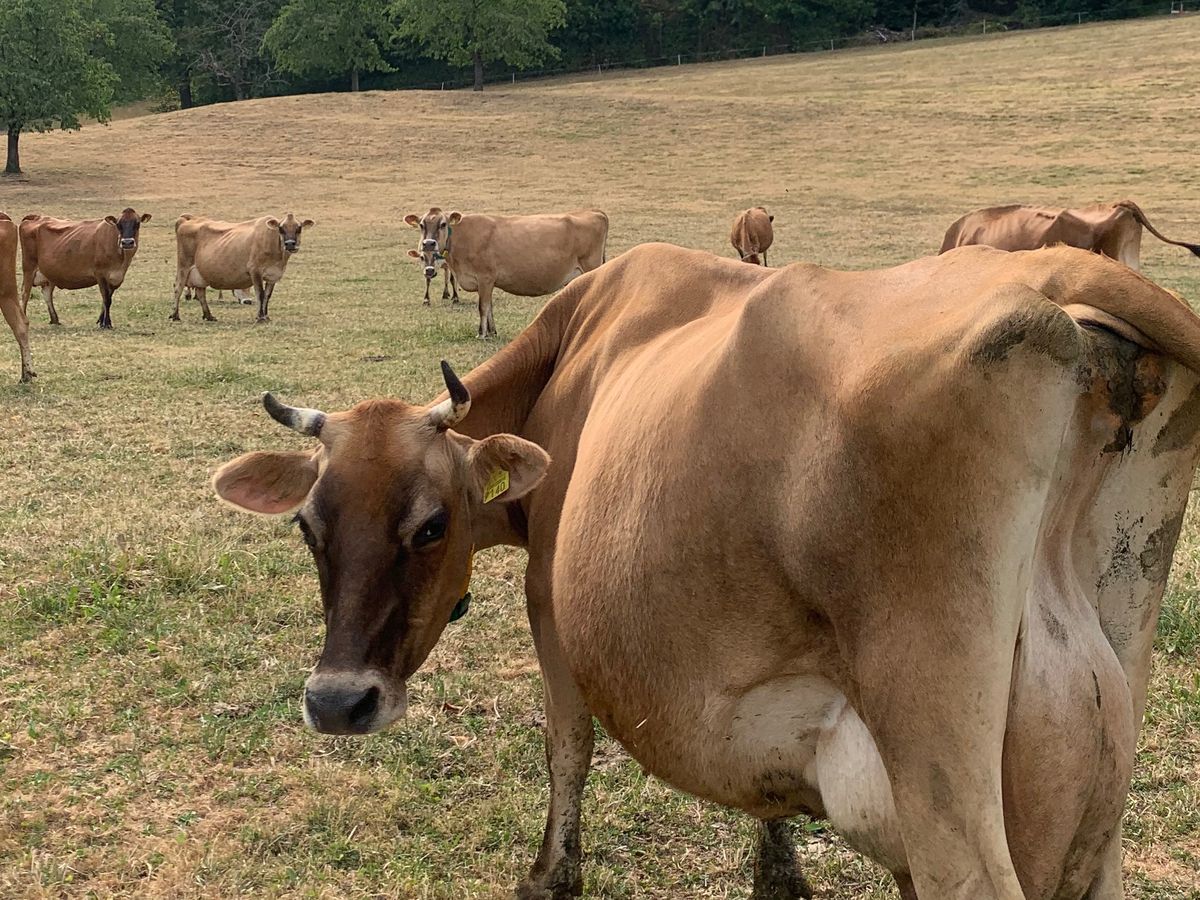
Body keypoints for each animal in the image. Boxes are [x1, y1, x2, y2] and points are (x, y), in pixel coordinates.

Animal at [19, 208, 151, 329]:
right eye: (118, 224)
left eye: (137, 223)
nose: (127, 242)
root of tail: (36, 217)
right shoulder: (100, 273)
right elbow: (106, 299)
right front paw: (106, 323)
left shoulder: (116, 277)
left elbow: (107, 299)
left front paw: (101, 321)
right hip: (29, 267)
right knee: (25, 293)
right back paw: (24, 319)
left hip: (49, 273)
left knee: (47, 294)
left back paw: (55, 320)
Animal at [171, 213, 314, 323]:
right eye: (281, 228)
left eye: (299, 228)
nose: (290, 244)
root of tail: (189, 219)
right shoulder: (255, 271)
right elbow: (260, 294)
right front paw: (260, 317)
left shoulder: (272, 276)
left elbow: (267, 296)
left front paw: (266, 316)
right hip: (184, 266)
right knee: (178, 288)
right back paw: (175, 315)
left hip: (200, 273)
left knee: (201, 293)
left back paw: (209, 316)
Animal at [213, 243, 1200, 900]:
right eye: (307, 523)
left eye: (431, 523)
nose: (337, 701)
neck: (572, 356)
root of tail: (1053, 277)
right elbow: (767, 794)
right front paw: (779, 875)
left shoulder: (550, 607)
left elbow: (566, 747)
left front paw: (550, 874)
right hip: (1104, 727)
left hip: (939, 757)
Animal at [404, 208, 608, 338]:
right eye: (421, 224)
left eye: (443, 224)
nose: (428, 243)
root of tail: (594, 212)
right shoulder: (487, 282)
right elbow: (490, 307)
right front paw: (492, 331)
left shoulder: (485, 277)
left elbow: (483, 307)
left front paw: (481, 334)